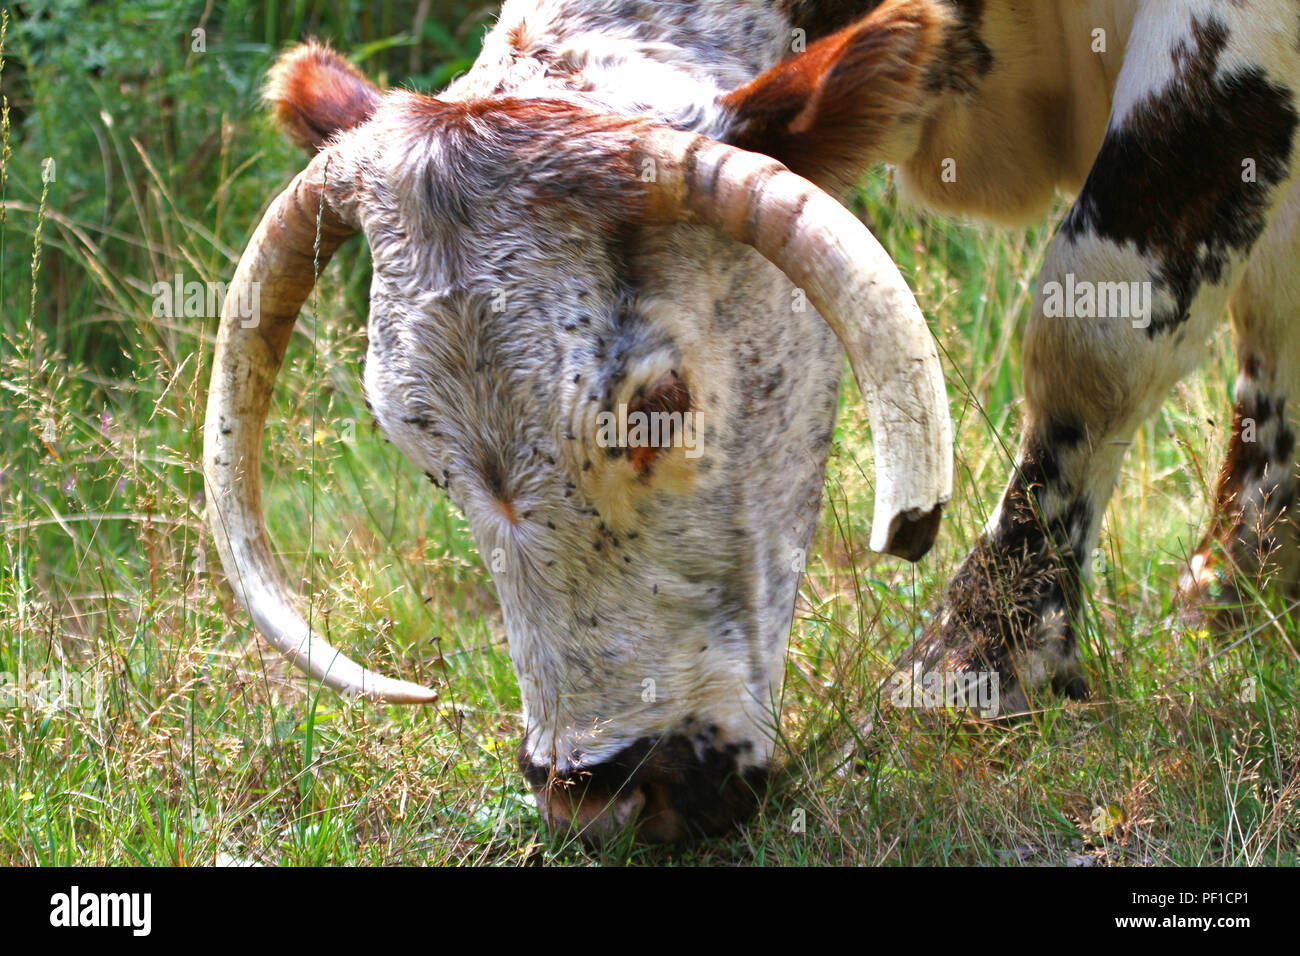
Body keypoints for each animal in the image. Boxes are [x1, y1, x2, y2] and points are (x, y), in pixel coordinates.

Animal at [202, 0, 1300, 842]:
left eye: (659, 402)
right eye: (418, 450)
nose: (598, 798)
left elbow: (1094, 332)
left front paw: (977, 665)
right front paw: (1238, 588)